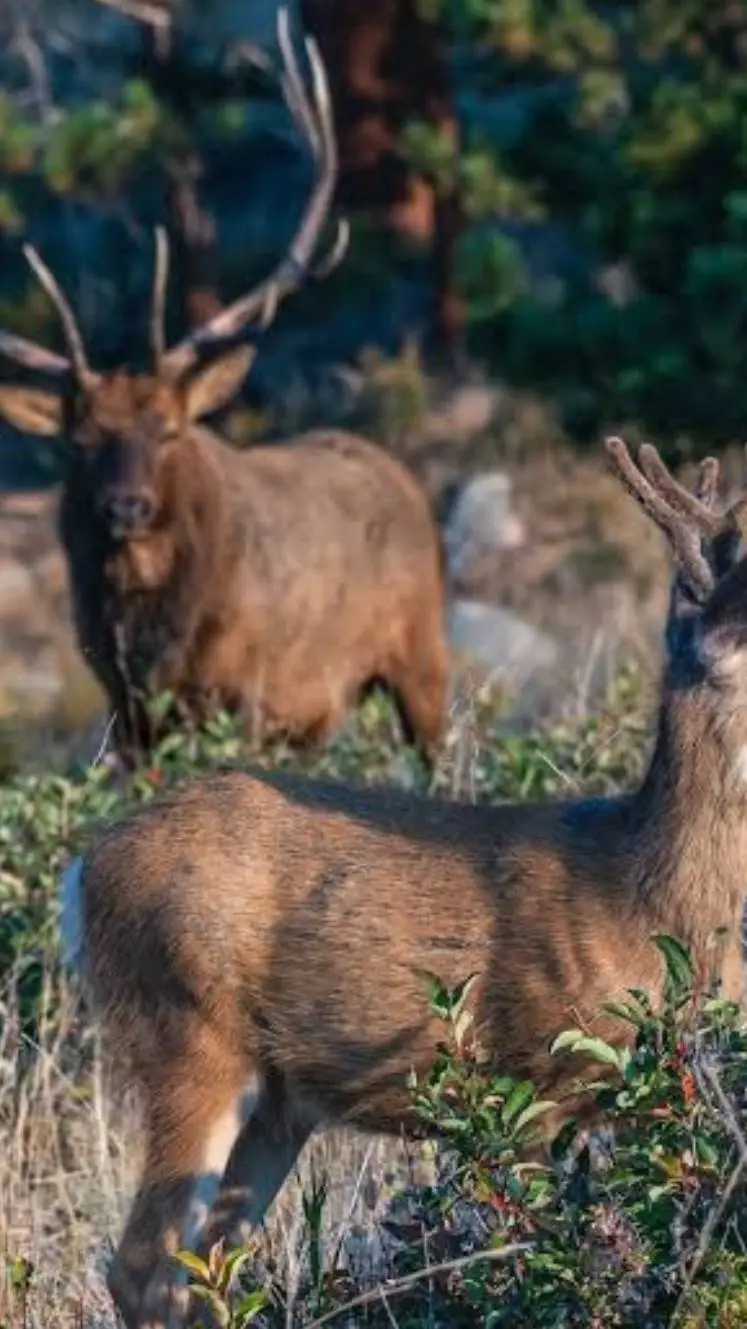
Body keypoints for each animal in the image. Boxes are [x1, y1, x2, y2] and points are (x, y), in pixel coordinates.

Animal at [0, 10, 449, 770]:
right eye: (79, 439)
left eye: (169, 430)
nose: (125, 506)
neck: (156, 633)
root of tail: (399, 474)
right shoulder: (126, 707)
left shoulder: (244, 689)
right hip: (319, 712)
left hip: (420, 651)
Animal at [58, 433, 747, 1328]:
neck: (640, 895)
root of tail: (84, 870)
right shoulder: (532, 1075)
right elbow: (537, 1256)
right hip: (187, 1027)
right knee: (144, 1266)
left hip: (278, 1099)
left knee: (205, 1269)